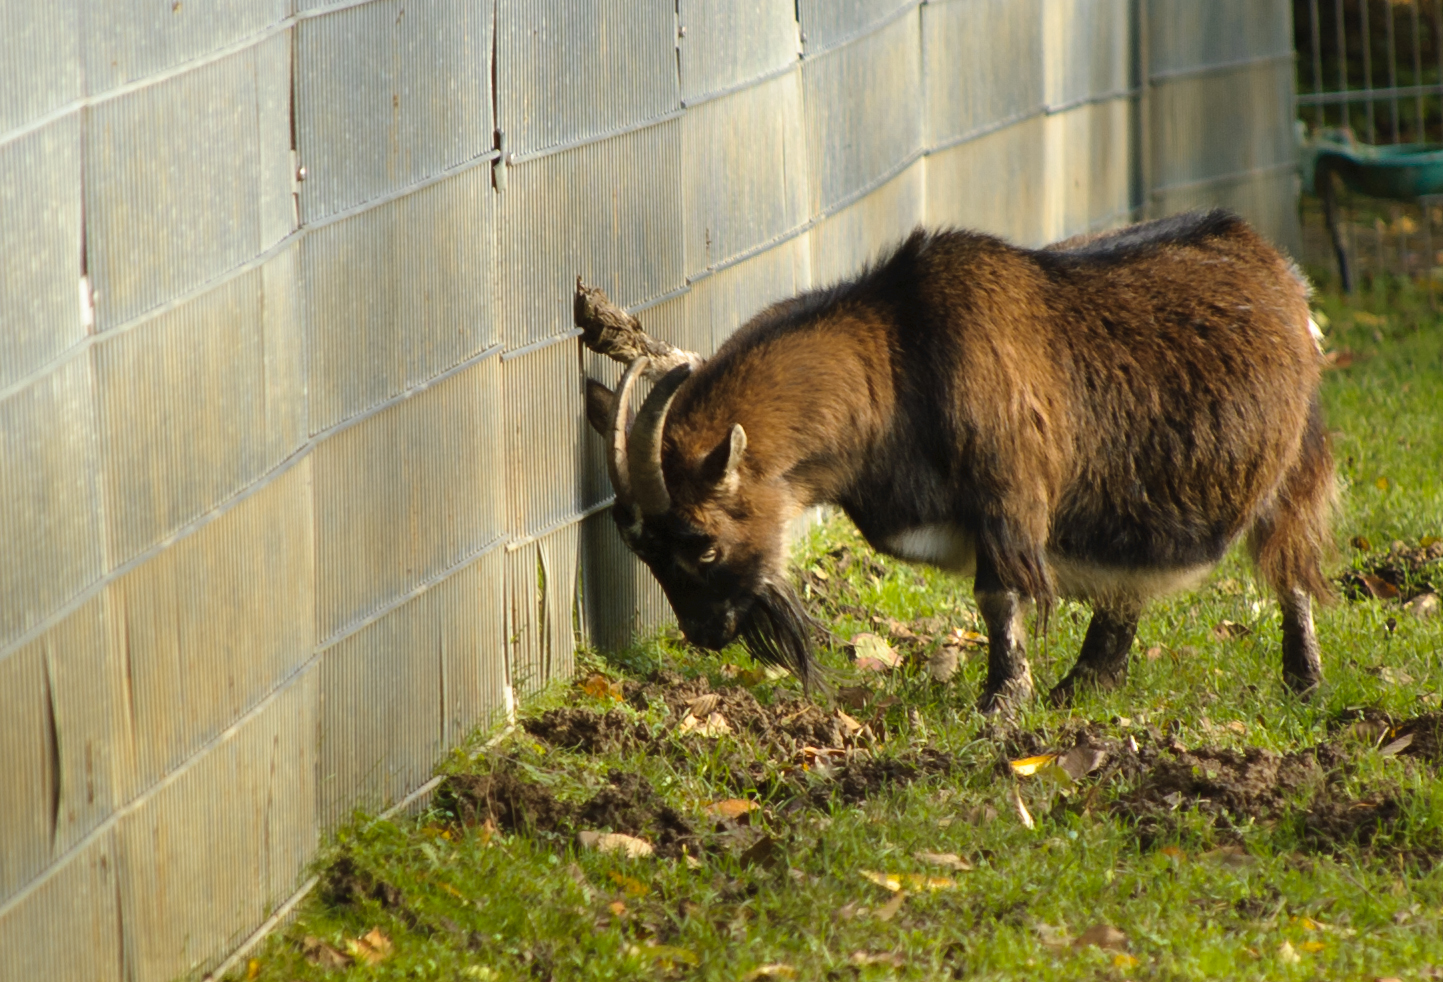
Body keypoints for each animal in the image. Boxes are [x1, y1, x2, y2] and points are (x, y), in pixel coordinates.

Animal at [580, 210, 1333, 709]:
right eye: (642, 550)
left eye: (701, 542)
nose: (705, 632)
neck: (895, 361)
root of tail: (1277, 267)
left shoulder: (1008, 498)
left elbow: (998, 598)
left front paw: (1001, 706)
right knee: (1131, 585)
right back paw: (1084, 685)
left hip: (1291, 468)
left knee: (1290, 570)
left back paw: (1304, 682)